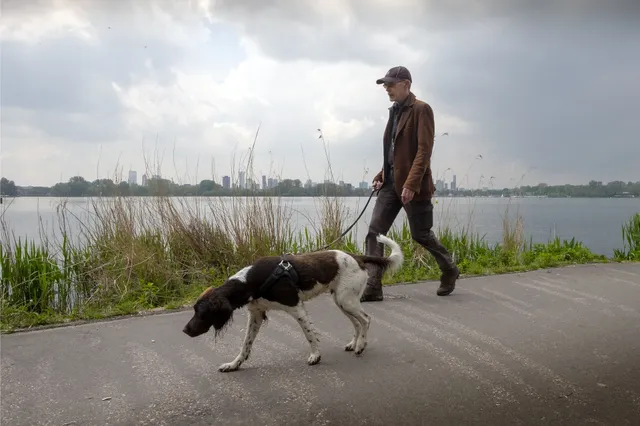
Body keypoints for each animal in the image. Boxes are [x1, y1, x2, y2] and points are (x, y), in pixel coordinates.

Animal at [182, 235, 402, 372]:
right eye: (195, 310)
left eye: (201, 313)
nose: (185, 330)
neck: (249, 282)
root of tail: (357, 256)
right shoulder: (256, 315)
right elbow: (245, 345)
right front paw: (234, 365)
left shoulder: (296, 308)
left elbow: (309, 335)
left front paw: (315, 356)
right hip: (342, 301)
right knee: (357, 323)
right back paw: (354, 343)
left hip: (346, 300)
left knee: (365, 319)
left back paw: (361, 345)